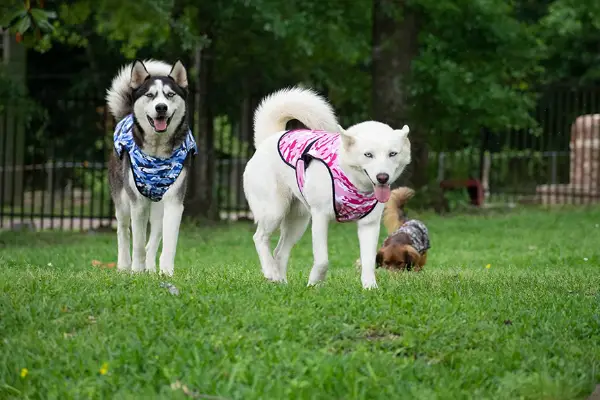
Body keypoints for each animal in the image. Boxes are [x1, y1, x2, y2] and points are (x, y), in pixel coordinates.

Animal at [241, 86, 410, 288]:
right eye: (368, 154)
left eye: (393, 154)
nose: (382, 177)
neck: (352, 182)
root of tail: (269, 139)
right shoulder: (320, 217)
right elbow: (322, 260)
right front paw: (314, 284)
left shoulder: (369, 224)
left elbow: (369, 261)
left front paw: (370, 288)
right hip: (274, 211)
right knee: (260, 238)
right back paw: (270, 272)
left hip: (298, 222)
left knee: (279, 252)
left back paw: (281, 283)